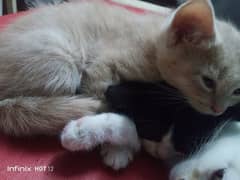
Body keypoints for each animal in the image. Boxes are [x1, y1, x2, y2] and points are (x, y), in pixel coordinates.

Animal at [1, 0, 240, 172]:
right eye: (208, 81)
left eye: (237, 91)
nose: (219, 110)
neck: (151, 45)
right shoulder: (103, 67)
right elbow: (110, 105)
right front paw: (117, 148)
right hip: (61, 63)